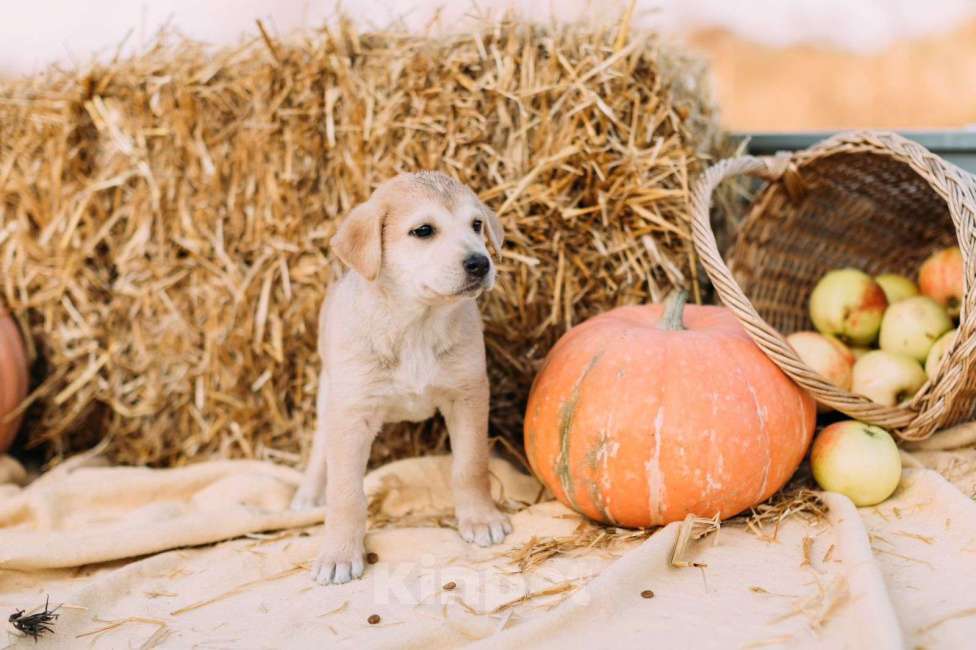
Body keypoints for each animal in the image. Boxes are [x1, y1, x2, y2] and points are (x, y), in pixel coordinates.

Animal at [290, 171, 516, 584]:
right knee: (319, 448)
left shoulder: (469, 394)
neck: (416, 325)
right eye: (423, 231)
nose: (480, 263)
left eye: (477, 225)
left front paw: (481, 519)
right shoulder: (351, 413)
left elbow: (470, 465)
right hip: (329, 394)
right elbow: (345, 492)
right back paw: (308, 495)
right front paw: (339, 553)